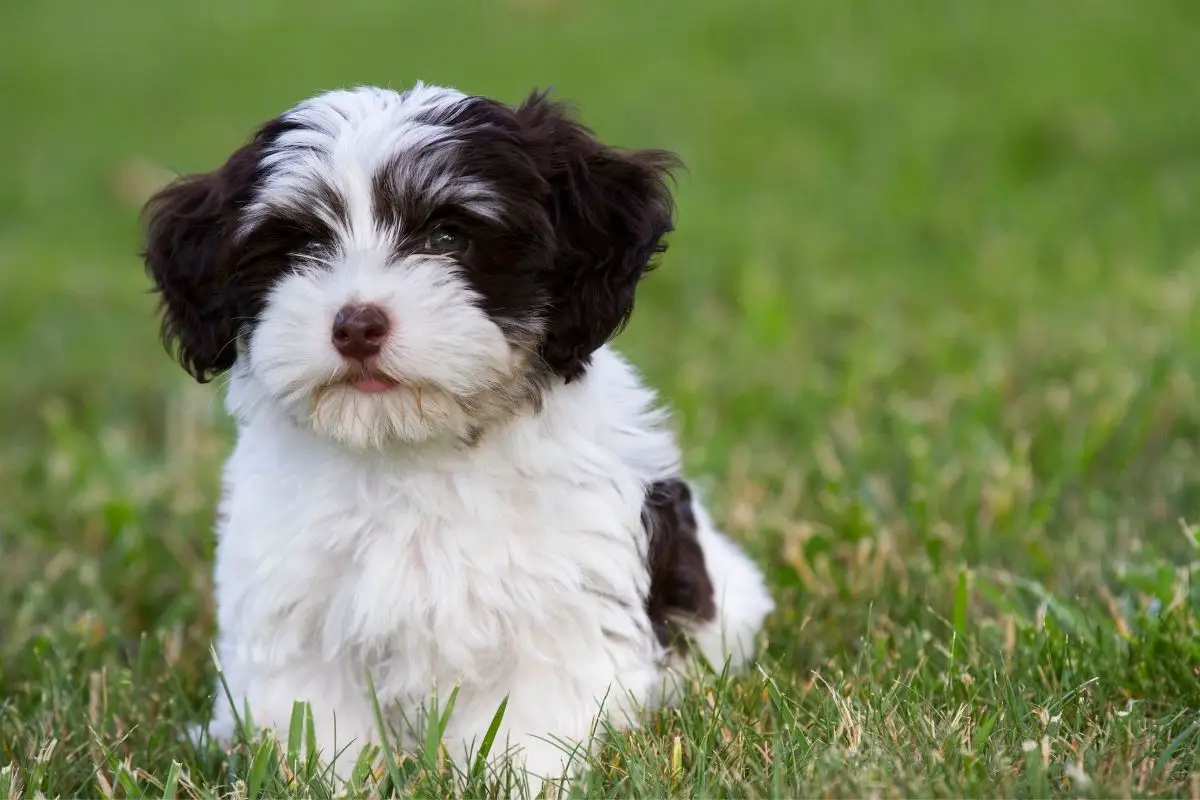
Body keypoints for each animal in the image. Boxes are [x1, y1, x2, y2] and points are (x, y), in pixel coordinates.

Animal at [142, 81, 777, 796]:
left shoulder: (561, 611)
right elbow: (319, 725)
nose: (356, 325)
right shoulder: (299, 612)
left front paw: (514, 779)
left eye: (449, 237)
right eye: (299, 248)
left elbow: (529, 728)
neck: (411, 451)